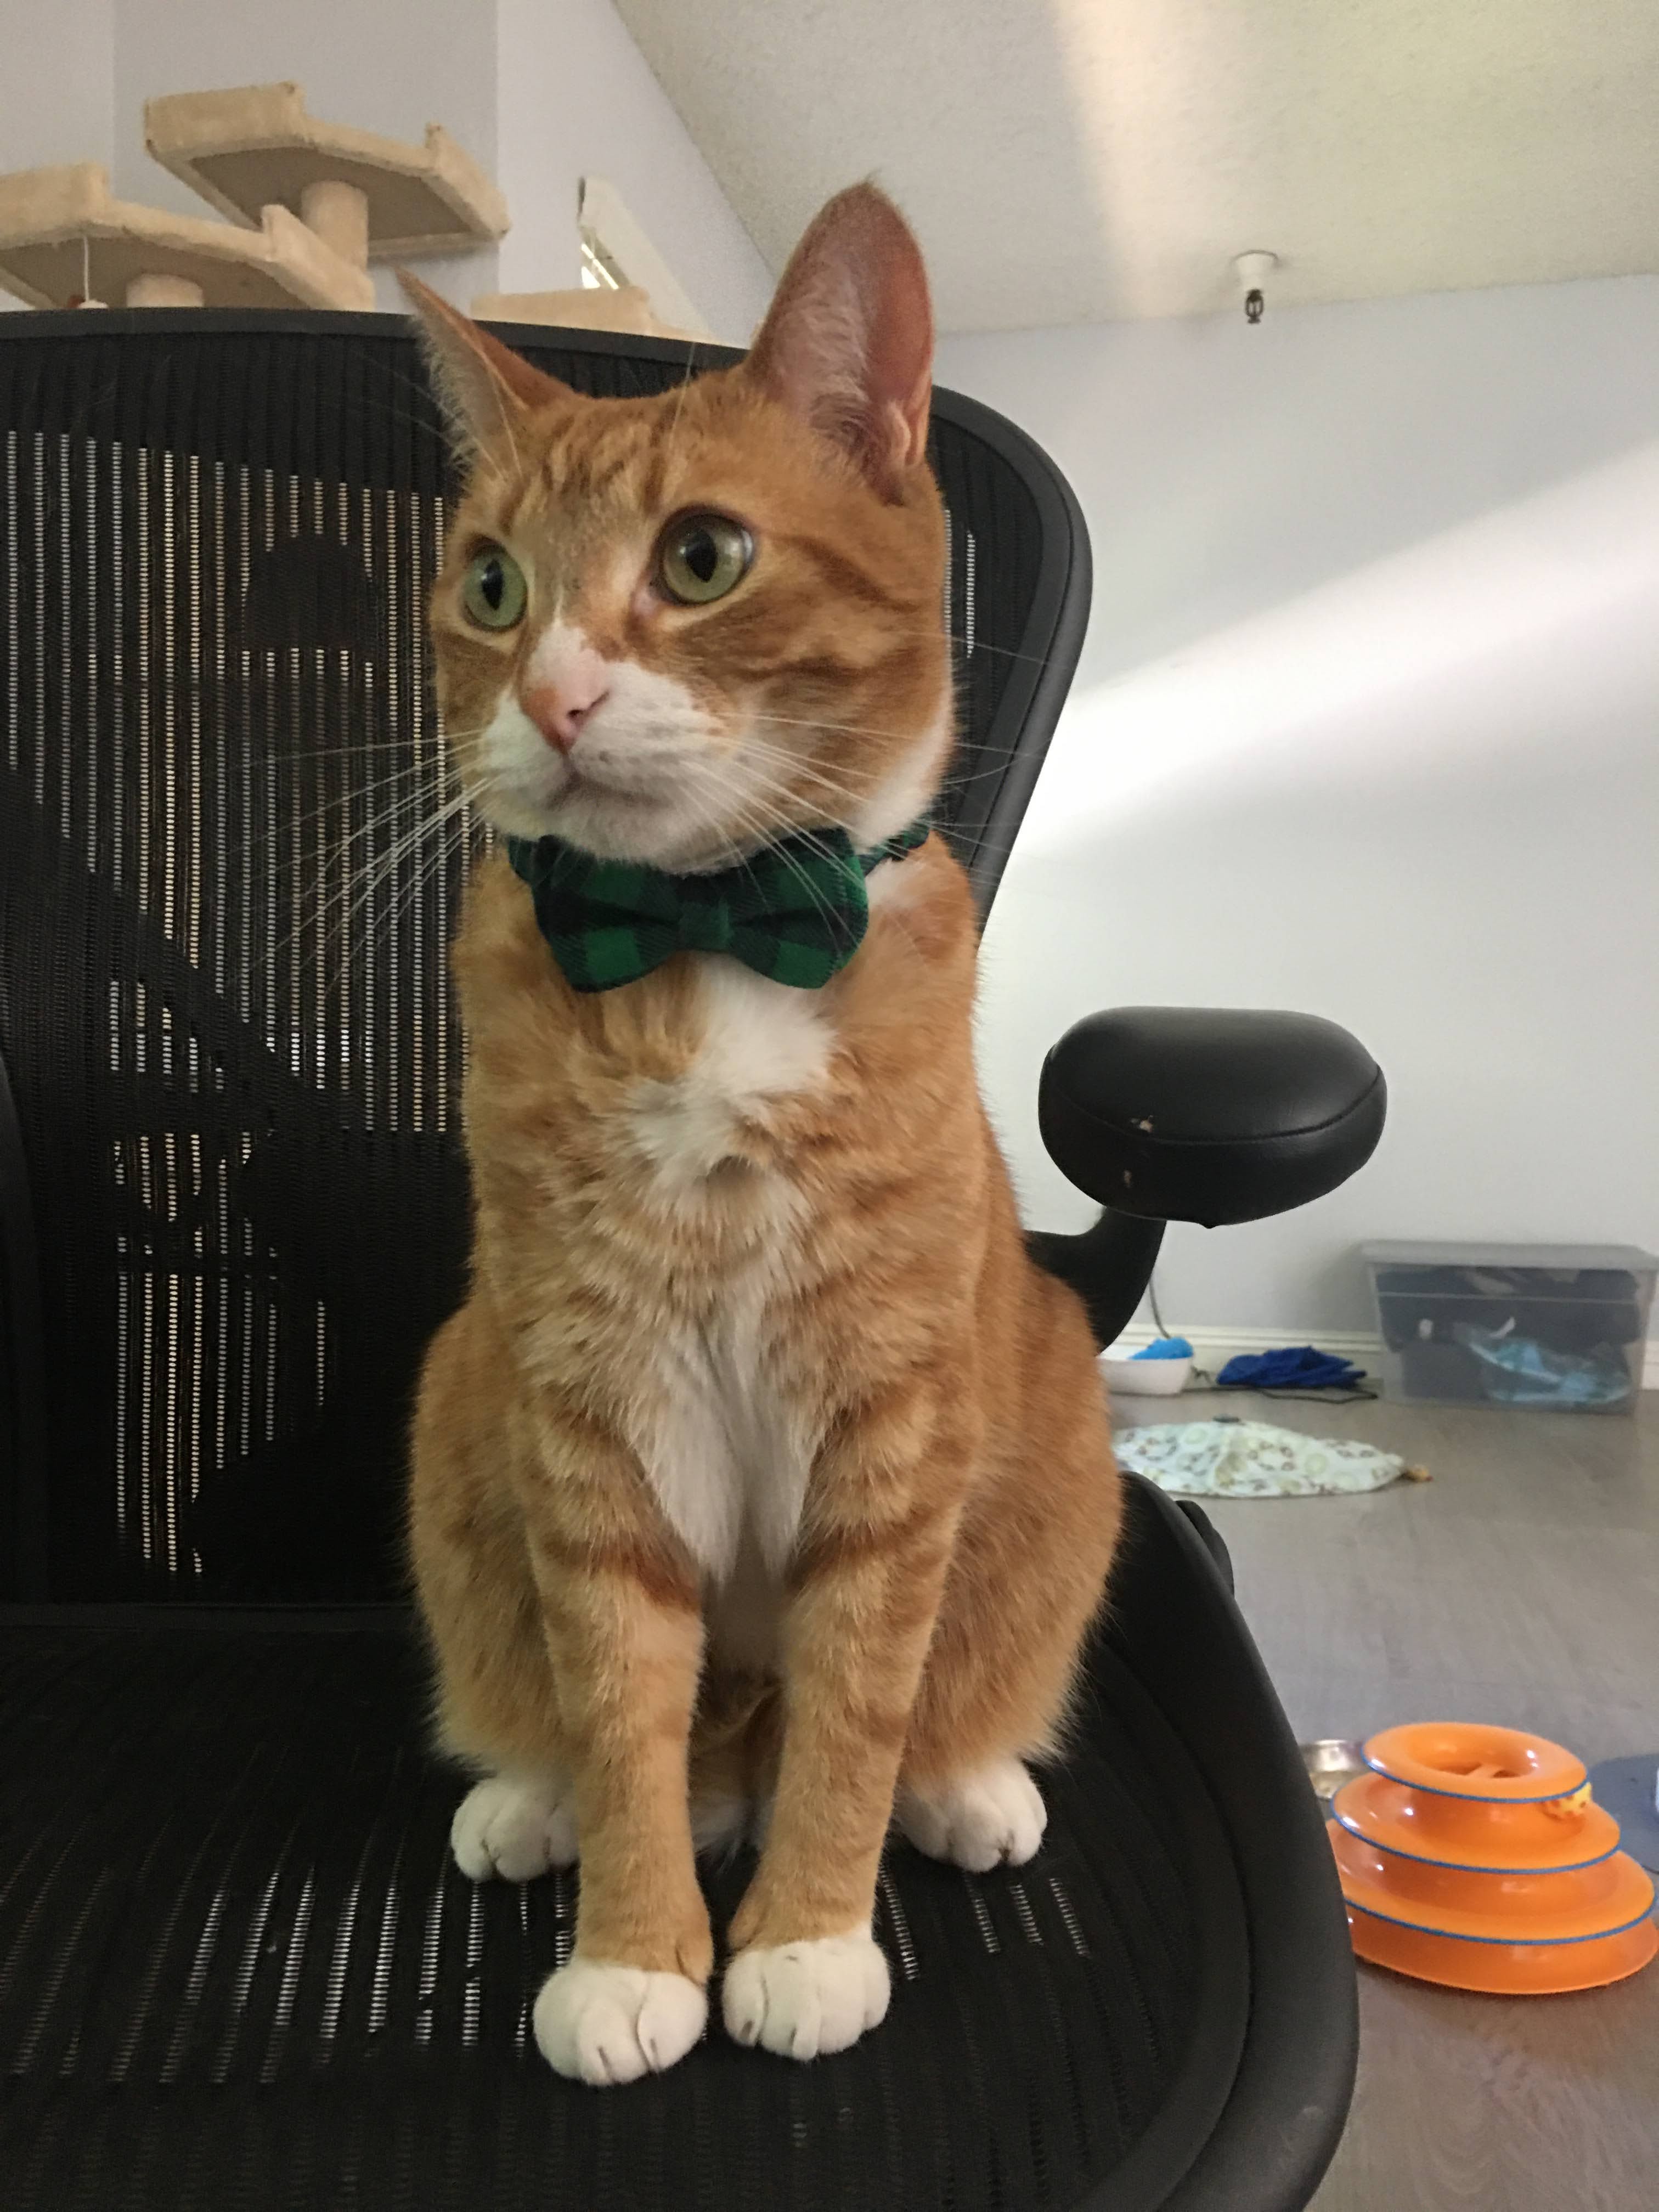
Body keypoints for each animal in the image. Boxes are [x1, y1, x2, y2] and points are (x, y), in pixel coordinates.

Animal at [407, 181, 1124, 2079]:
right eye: (492, 587)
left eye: (702, 559)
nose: (555, 698)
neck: (704, 941)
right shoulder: (582, 1406)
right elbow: (616, 1700)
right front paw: (636, 1956)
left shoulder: (888, 1428)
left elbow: (858, 1710)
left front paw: (802, 1939)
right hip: (460, 1390)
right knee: (564, 1711)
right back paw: (528, 1797)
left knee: (935, 1707)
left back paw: (967, 1789)